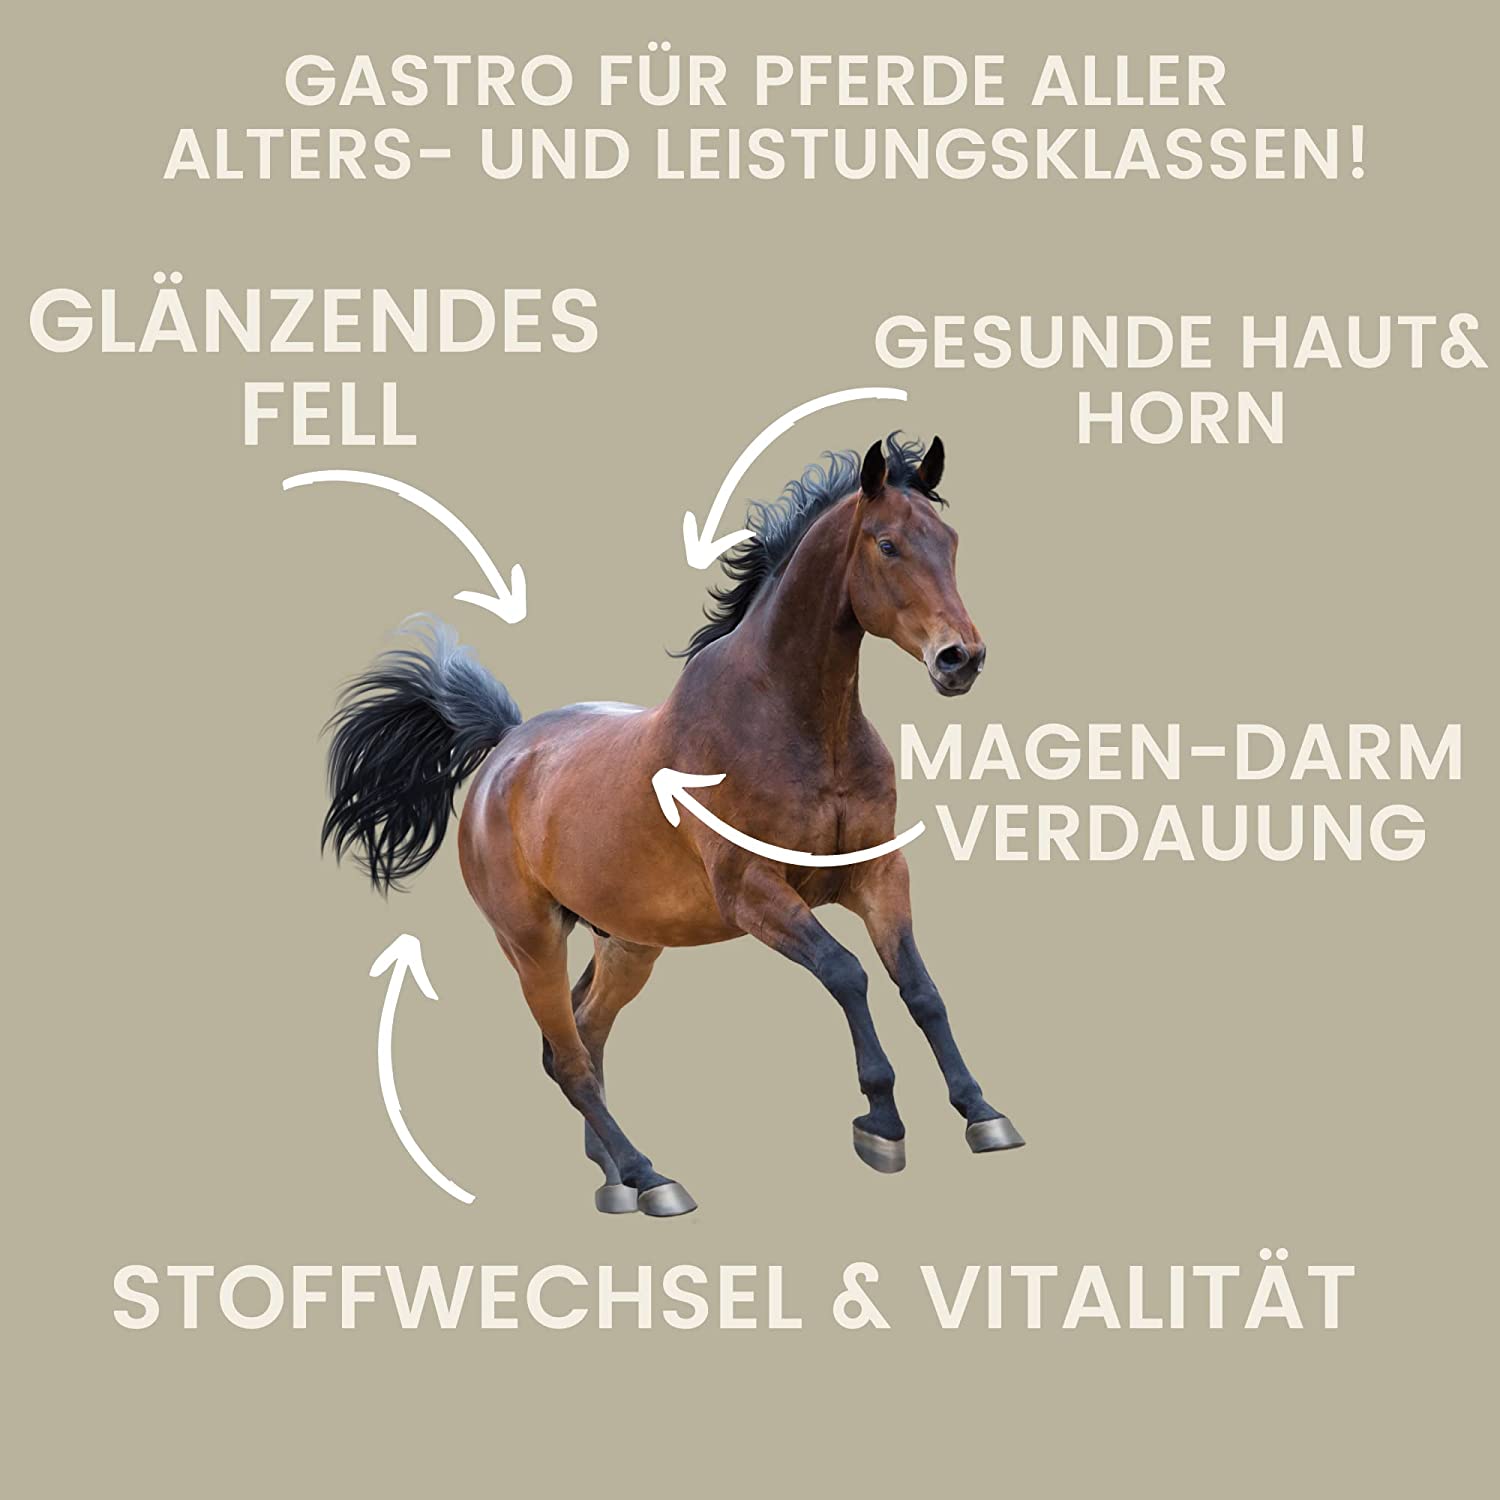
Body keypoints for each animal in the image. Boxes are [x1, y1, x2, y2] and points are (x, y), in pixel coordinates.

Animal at [323, 434, 1024, 1216]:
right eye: (889, 543)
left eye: (950, 542)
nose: (960, 658)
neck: (800, 726)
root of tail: (505, 748)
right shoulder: (752, 891)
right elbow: (847, 974)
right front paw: (882, 1121)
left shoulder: (876, 873)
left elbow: (921, 988)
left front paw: (982, 1112)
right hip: (530, 940)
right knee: (569, 1058)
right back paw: (650, 1176)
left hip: (629, 944)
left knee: (583, 1035)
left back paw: (616, 1177)